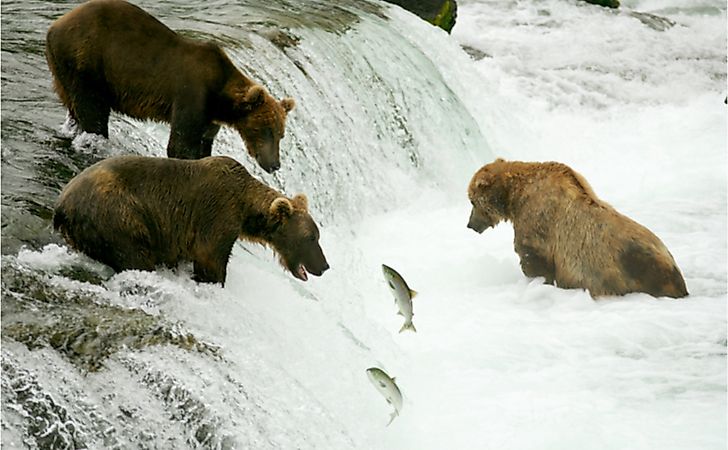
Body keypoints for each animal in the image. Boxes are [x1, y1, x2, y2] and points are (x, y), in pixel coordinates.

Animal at [45, 0, 294, 172]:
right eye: (265, 129)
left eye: (280, 134)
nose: (275, 164)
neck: (220, 99)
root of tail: (55, 25)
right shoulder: (191, 94)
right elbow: (181, 144)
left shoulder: (210, 119)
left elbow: (203, 143)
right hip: (86, 61)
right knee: (92, 110)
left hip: (64, 71)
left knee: (75, 108)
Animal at [54, 155, 330, 284]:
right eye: (311, 237)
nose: (325, 266)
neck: (246, 209)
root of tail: (62, 206)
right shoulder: (217, 214)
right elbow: (210, 258)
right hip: (118, 216)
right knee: (135, 254)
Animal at [466, 159, 688, 298]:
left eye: (472, 201)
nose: (470, 224)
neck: (515, 196)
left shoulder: (538, 220)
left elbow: (532, 257)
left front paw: (536, 280)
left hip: (632, 268)